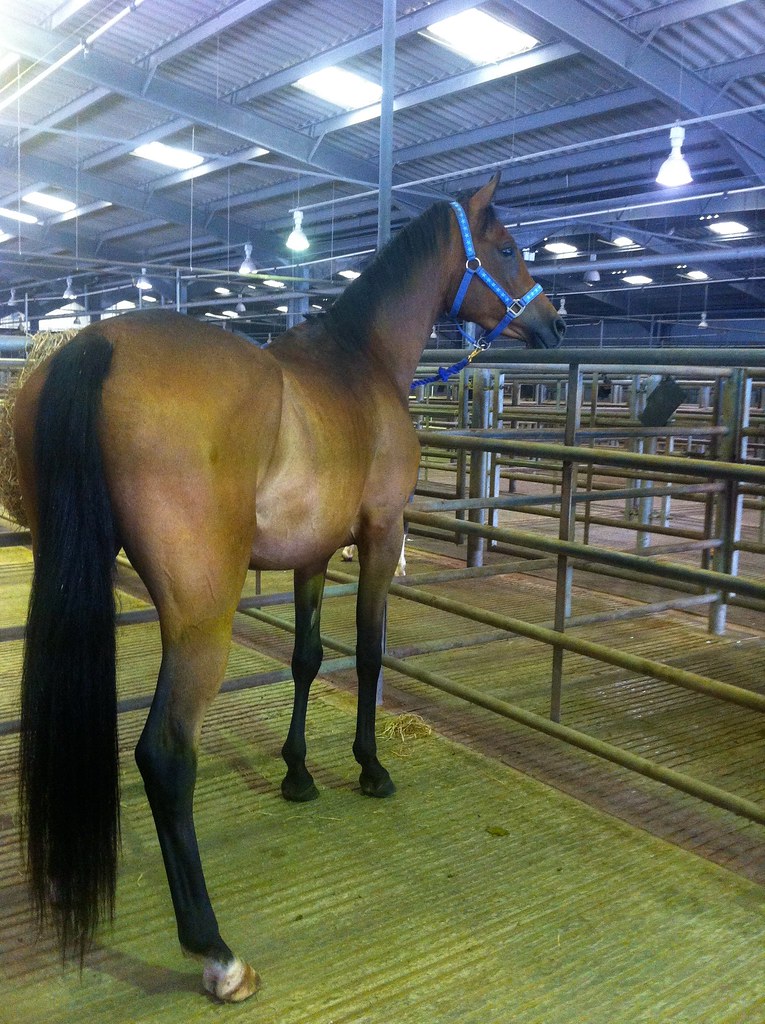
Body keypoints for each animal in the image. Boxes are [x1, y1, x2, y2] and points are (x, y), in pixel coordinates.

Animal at [11, 174, 563, 1002]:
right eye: (504, 247)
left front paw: (298, 773)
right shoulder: (379, 536)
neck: (361, 362)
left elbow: (306, 659)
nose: (553, 322)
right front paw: (370, 768)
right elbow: (366, 654)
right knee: (165, 754)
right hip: (201, 618)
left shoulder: (312, 552)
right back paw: (216, 952)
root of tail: (93, 345)